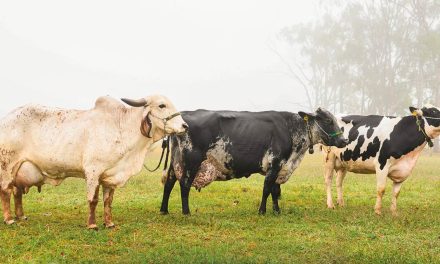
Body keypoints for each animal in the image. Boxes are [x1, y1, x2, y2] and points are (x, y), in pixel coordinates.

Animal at [0, 95, 187, 229]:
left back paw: (21, 215)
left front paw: (109, 223)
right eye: (162, 105)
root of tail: (6, 118)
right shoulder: (93, 171)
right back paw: (9, 219)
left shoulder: (109, 177)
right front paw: (92, 224)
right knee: (6, 190)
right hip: (7, 165)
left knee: (16, 192)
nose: (185, 126)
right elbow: (93, 200)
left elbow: (108, 201)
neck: (121, 127)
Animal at [159, 107, 348, 214]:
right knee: (184, 186)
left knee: (169, 183)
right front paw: (262, 211)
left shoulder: (280, 167)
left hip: (175, 164)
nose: (344, 140)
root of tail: (182, 117)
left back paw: (164, 210)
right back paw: (186, 212)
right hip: (190, 162)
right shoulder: (275, 163)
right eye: (328, 120)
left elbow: (274, 191)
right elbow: (267, 189)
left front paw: (276, 211)